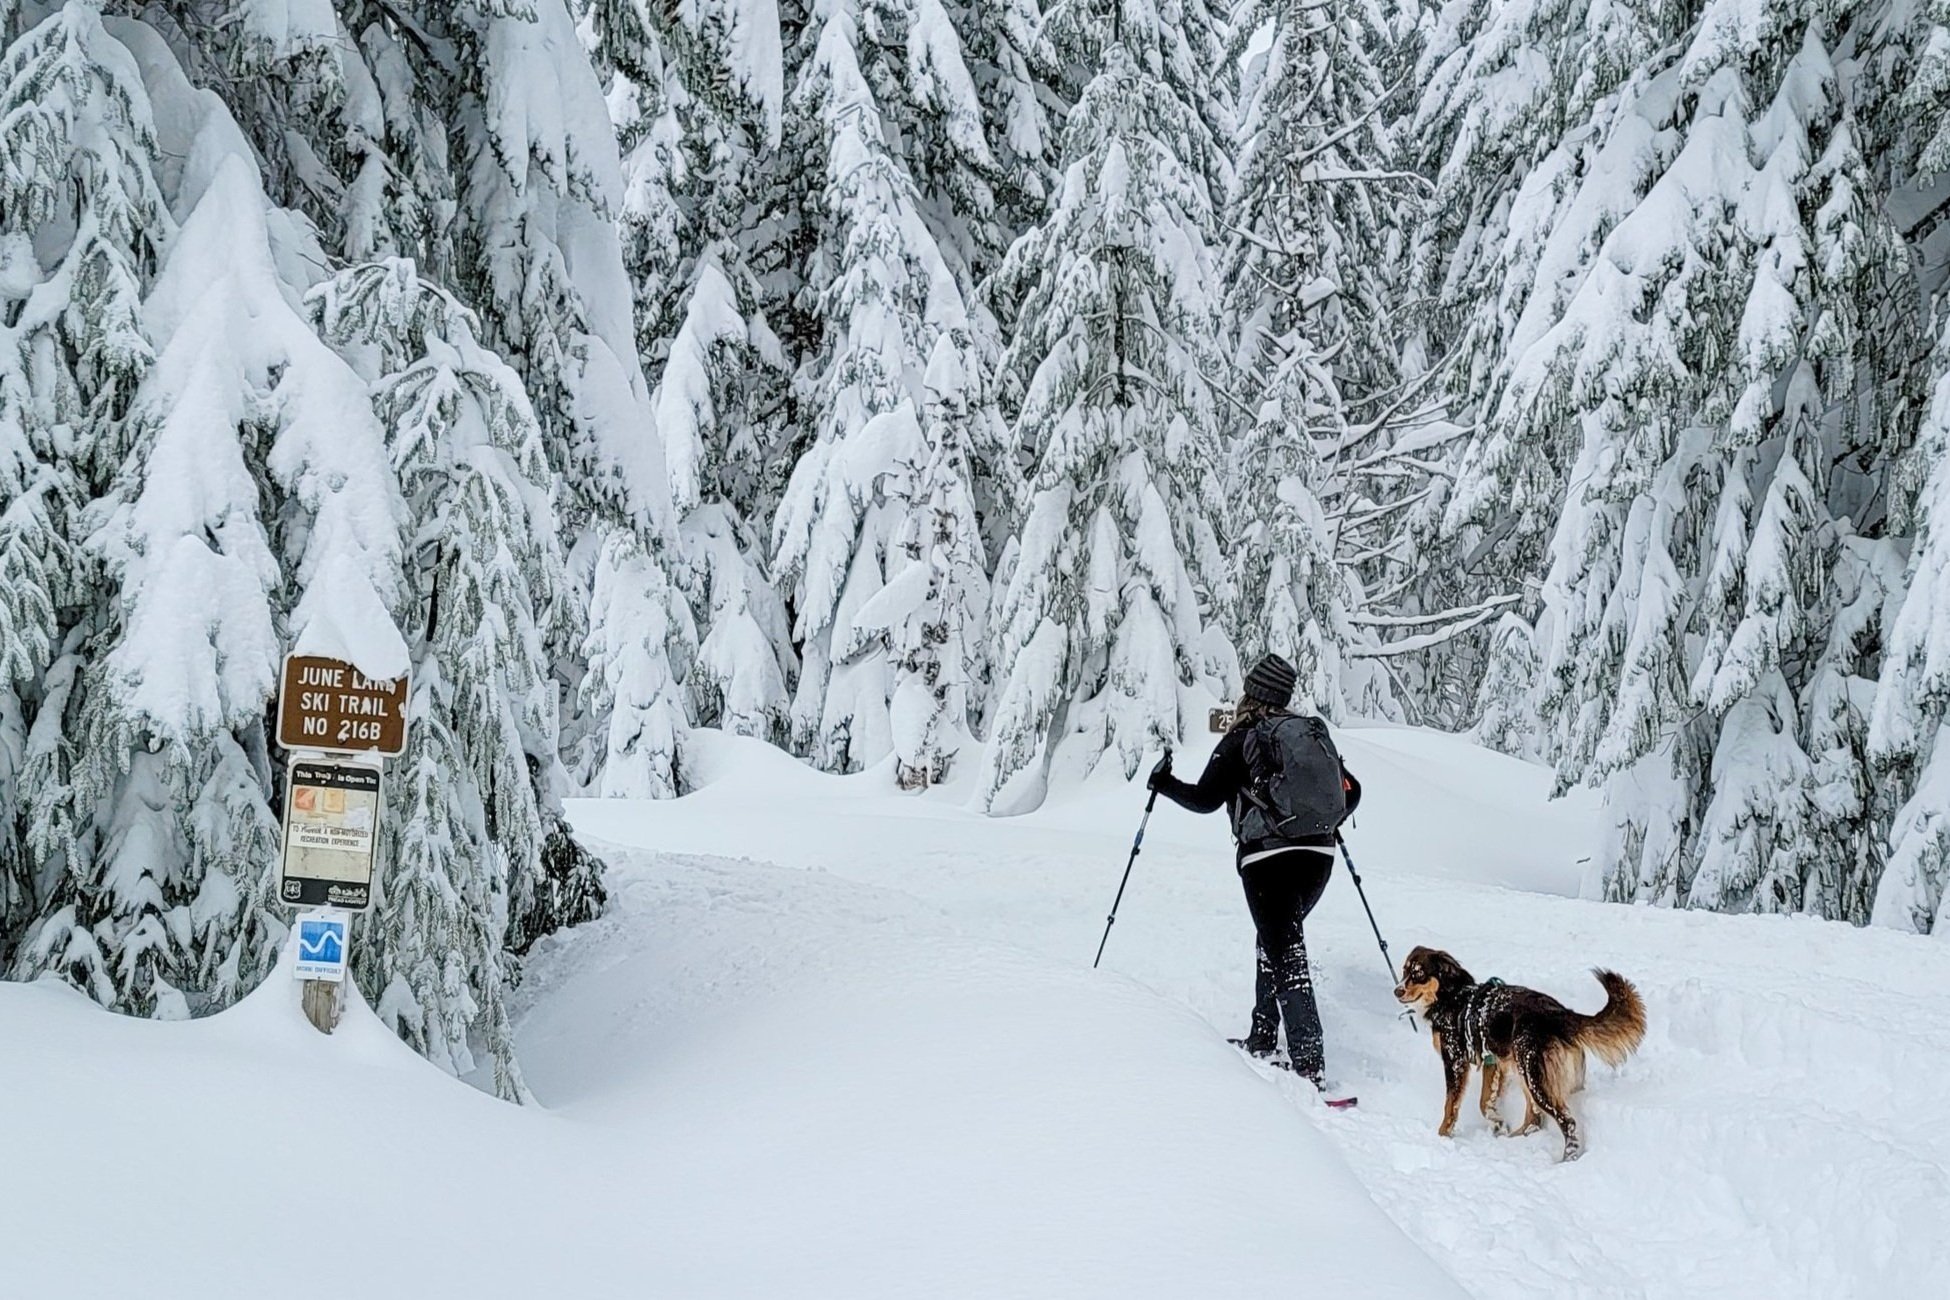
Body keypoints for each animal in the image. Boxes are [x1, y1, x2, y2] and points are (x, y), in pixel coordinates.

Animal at [1388, 947, 1645, 1161]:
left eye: (1419, 974)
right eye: (1404, 971)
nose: (1397, 991)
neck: (1452, 997)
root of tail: (1562, 1015)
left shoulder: (1455, 1060)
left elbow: (1451, 1105)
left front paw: (1442, 1135)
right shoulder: (1493, 1062)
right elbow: (1485, 1103)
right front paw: (1498, 1124)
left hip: (1534, 1076)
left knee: (1567, 1121)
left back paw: (1567, 1159)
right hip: (1526, 1070)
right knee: (1535, 1119)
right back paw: (1515, 1139)